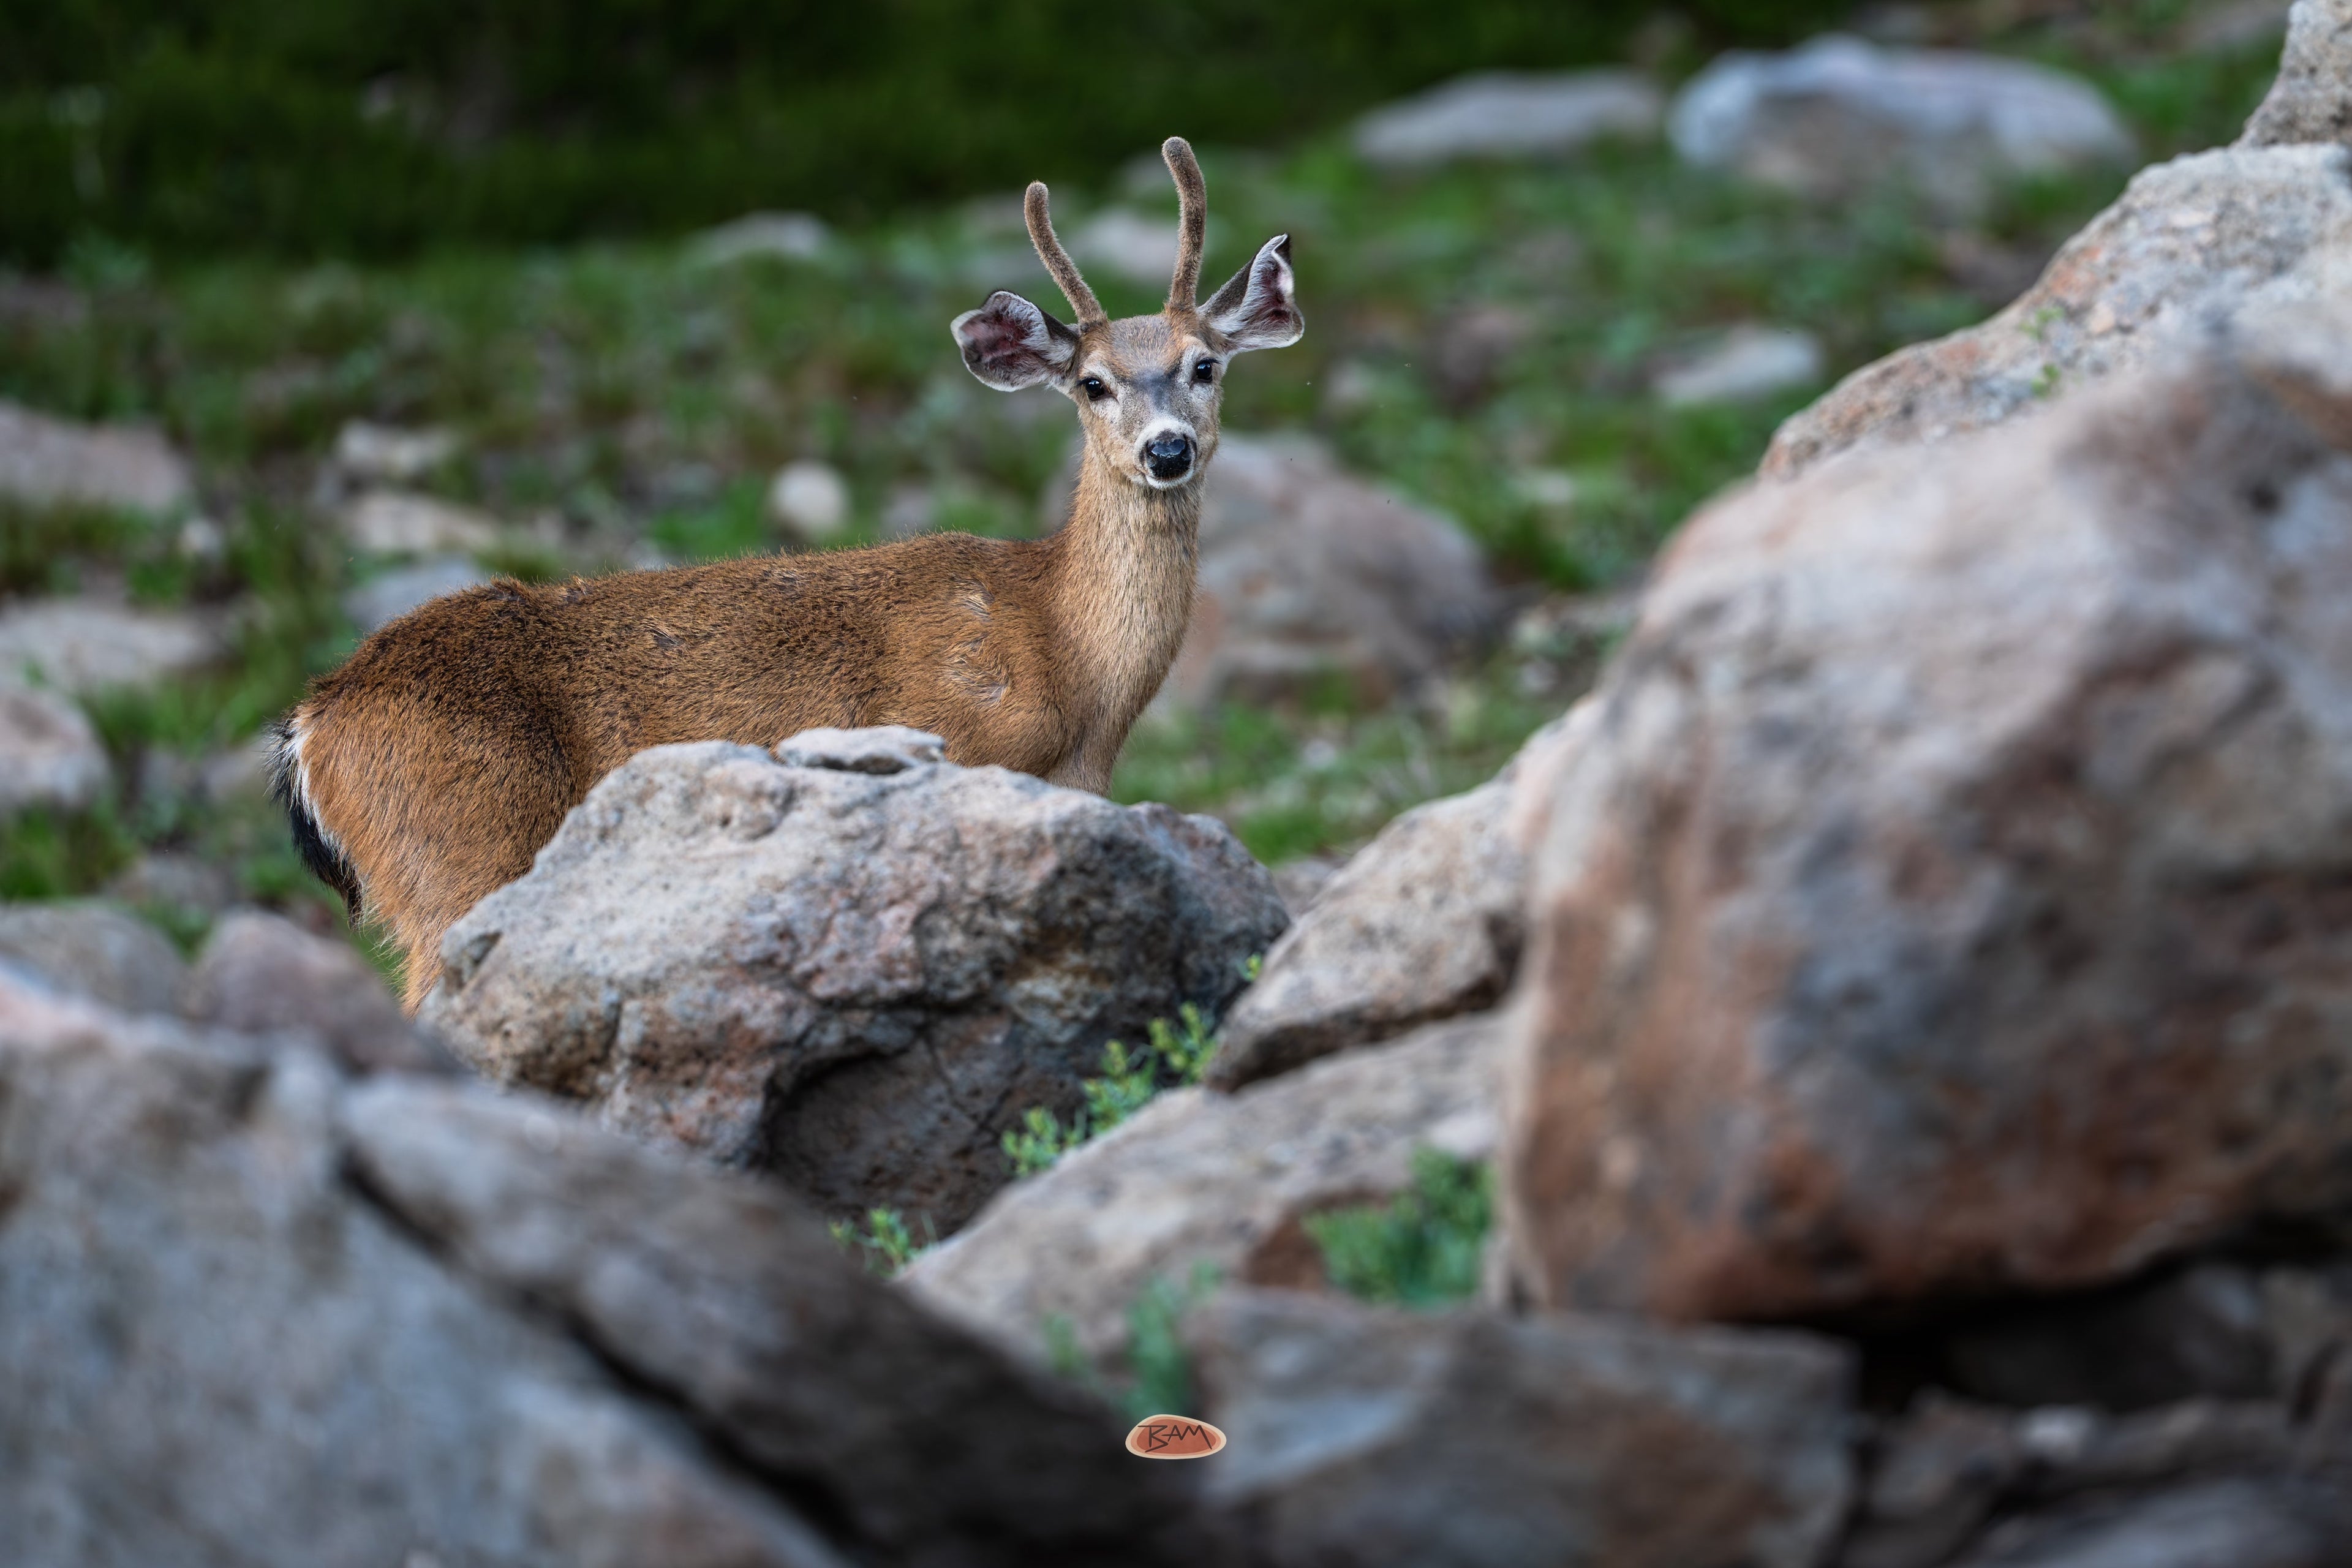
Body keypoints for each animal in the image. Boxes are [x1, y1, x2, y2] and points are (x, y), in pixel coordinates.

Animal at [271, 136, 1303, 1012]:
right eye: (1093, 383)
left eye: (1205, 365)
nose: (1166, 450)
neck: (1066, 657)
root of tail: (314, 725)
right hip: (462, 851)